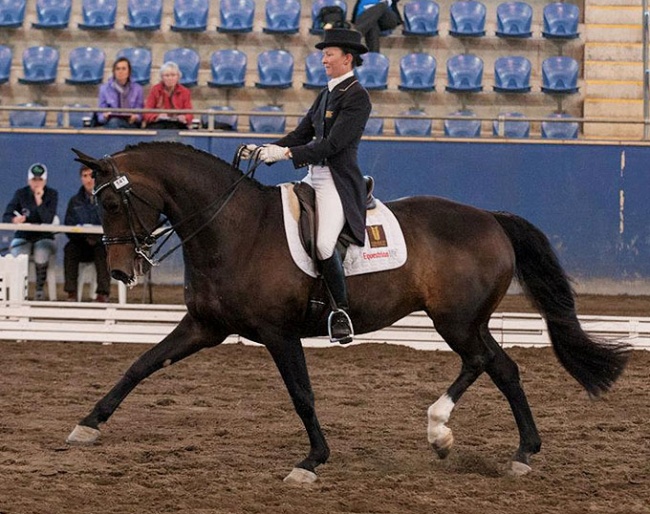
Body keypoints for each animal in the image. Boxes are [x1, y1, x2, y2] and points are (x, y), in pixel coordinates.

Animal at [67, 142, 628, 482]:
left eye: (113, 204)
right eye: (98, 204)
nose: (120, 273)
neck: (234, 227)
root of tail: (490, 218)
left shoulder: (279, 334)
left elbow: (302, 396)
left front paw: (311, 462)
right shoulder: (205, 326)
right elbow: (141, 365)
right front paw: (88, 425)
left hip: (455, 320)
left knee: (481, 363)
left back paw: (440, 430)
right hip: (467, 320)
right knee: (503, 368)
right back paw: (520, 453)